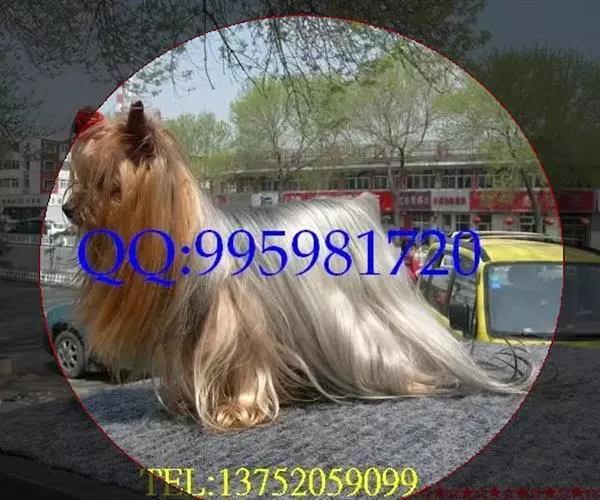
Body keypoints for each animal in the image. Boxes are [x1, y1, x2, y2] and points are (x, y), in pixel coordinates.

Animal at [62, 101, 535, 432]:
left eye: (110, 184)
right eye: (79, 178)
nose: (67, 208)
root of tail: (364, 203)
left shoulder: (240, 330)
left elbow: (244, 370)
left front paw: (236, 412)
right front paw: (186, 404)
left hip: (365, 318)